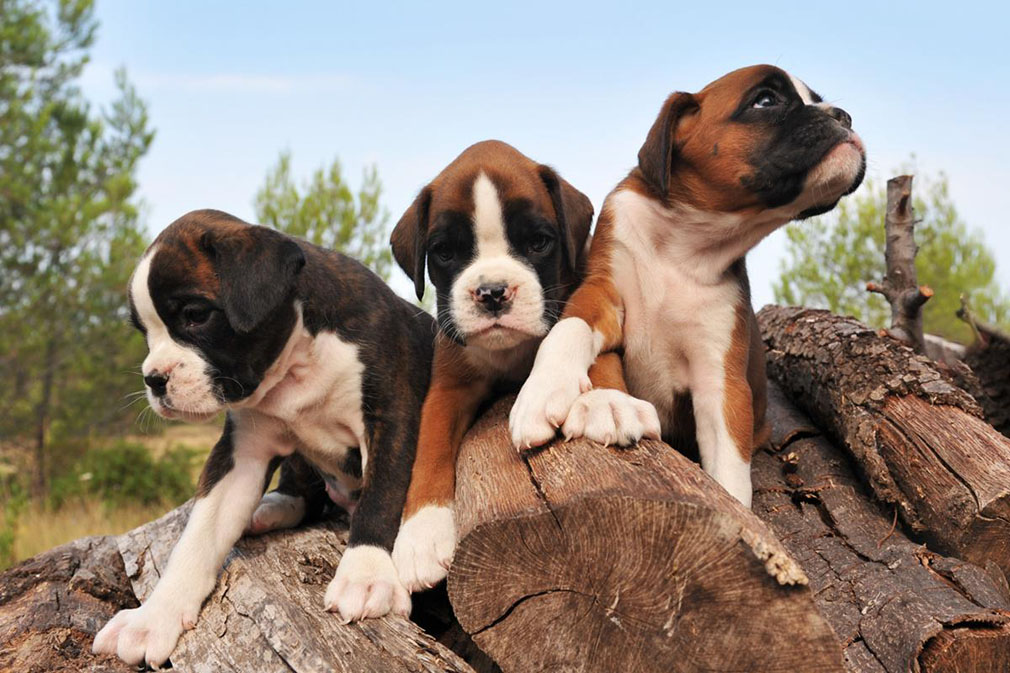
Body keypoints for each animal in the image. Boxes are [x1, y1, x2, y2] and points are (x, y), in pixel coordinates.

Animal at [95, 210, 438, 666]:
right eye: (144, 332)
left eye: (195, 314)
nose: (154, 378)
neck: (298, 358)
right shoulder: (242, 455)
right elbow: (197, 536)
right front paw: (153, 616)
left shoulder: (392, 420)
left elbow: (381, 497)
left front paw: (365, 574)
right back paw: (272, 507)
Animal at [513, 65, 868, 505]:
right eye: (766, 100)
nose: (844, 116)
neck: (685, 245)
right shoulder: (601, 292)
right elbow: (571, 331)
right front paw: (560, 393)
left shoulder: (720, 383)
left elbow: (730, 474)